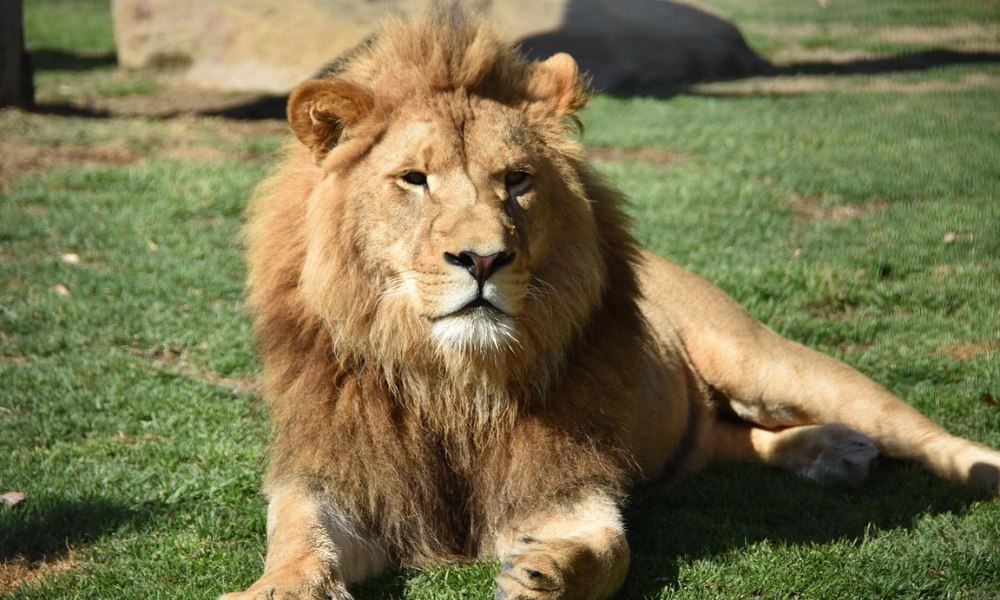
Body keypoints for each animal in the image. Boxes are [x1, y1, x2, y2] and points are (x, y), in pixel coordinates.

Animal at [221, 8, 1000, 600]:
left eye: (517, 180)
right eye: (414, 179)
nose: (483, 260)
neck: (451, 379)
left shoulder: (568, 486)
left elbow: (606, 550)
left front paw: (544, 572)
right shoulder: (334, 477)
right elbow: (297, 542)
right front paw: (275, 590)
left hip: (767, 362)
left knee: (922, 435)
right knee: (737, 439)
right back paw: (832, 452)